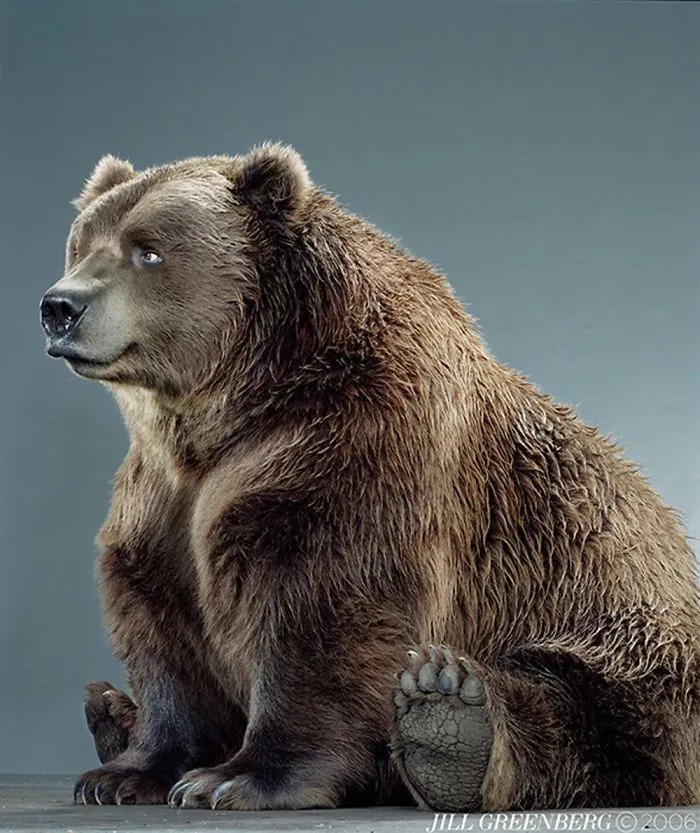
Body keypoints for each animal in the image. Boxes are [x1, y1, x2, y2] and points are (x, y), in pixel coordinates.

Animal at [40, 143, 700, 812]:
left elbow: (325, 605)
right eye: (81, 243)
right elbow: (160, 622)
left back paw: (448, 718)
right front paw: (128, 774)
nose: (59, 306)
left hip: (620, 636)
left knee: (581, 709)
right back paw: (108, 710)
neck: (228, 405)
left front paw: (234, 778)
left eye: (147, 250)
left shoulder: (356, 445)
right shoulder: (162, 495)